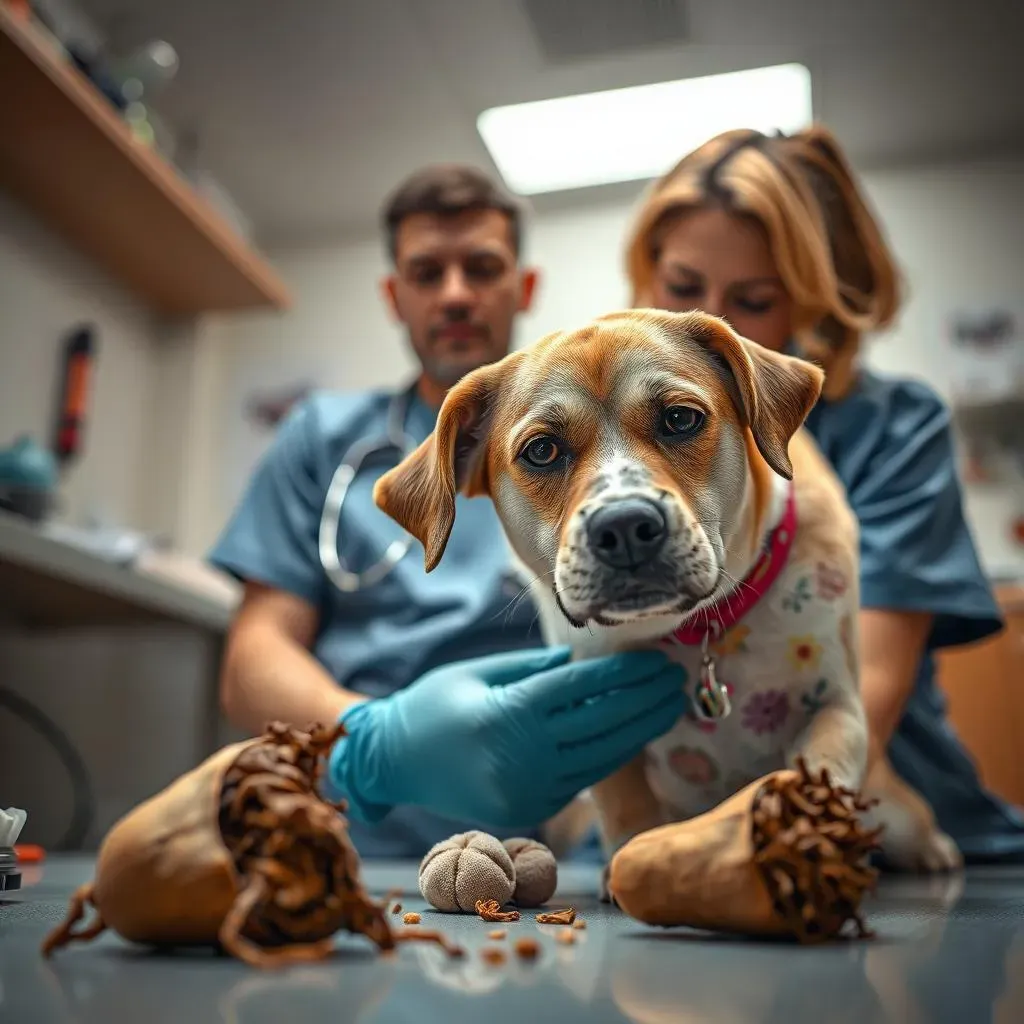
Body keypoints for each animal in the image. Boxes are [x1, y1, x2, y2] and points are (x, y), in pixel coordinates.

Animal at [374, 307, 958, 876]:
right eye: (542, 451)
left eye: (680, 418)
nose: (625, 527)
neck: (698, 635)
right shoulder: (598, 721)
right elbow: (626, 804)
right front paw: (629, 859)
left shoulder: (838, 705)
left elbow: (823, 764)